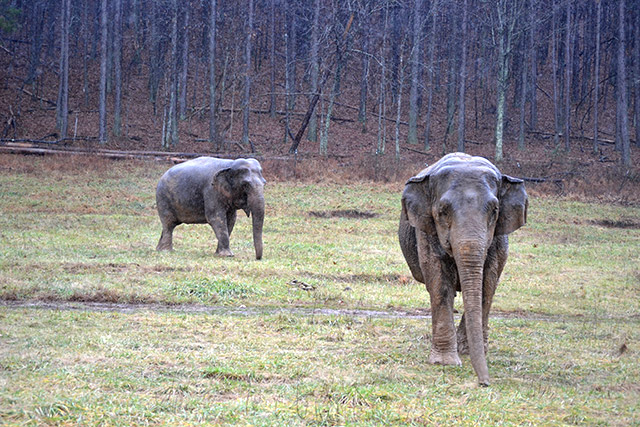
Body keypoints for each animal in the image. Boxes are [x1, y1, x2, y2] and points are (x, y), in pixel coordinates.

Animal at [398, 152, 528, 386]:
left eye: (495, 210)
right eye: (442, 212)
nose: (484, 382)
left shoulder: (498, 239)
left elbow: (487, 283)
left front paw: (468, 352)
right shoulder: (427, 232)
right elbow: (439, 282)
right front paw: (445, 362)